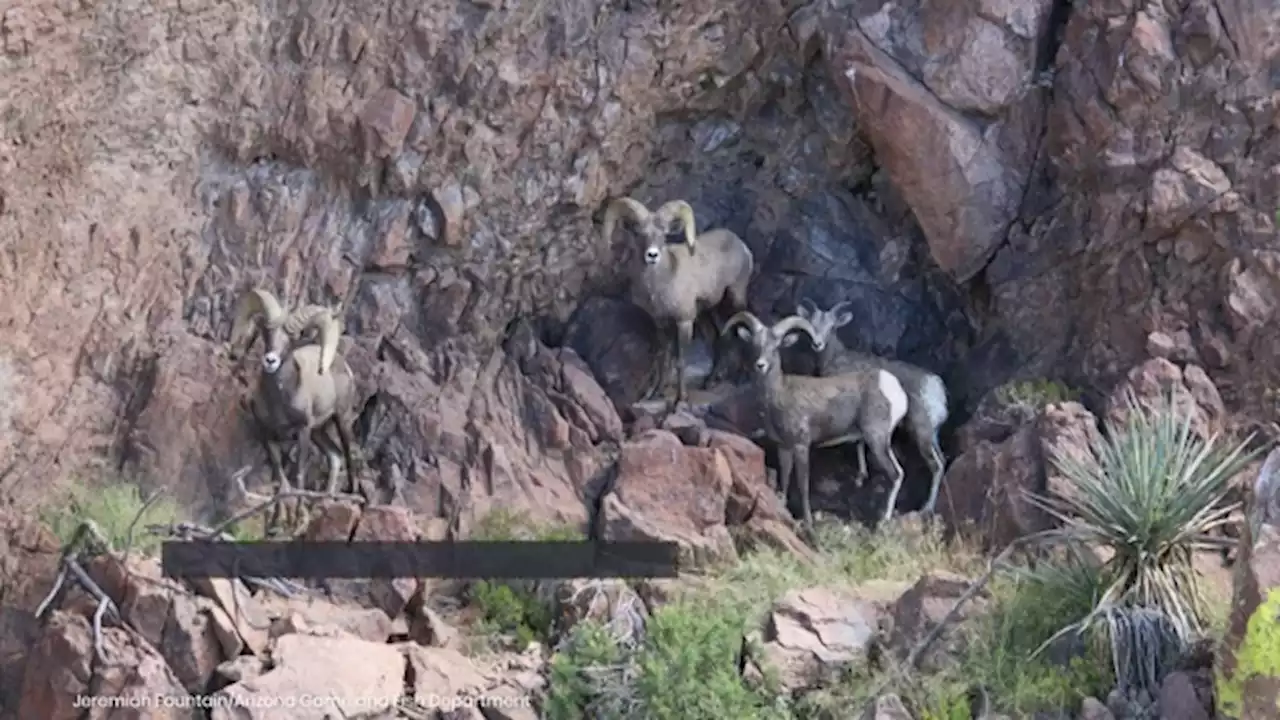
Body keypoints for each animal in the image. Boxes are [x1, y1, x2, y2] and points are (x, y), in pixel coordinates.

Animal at [227, 285, 360, 509]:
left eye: (292, 338)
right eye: (267, 332)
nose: (270, 360)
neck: (278, 402)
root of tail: (343, 365)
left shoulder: (303, 431)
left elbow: (299, 472)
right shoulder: (267, 432)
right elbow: (279, 469)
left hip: (341, 420)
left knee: (347, 456)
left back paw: (349, 495)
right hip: (319, 432)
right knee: (335, 456)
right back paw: (325, 498)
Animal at [727, 310, 916, 527]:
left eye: (775, 347)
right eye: (755, 345)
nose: (760, 365)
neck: (778, 395)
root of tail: (895, 390)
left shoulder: (801, 447)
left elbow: (803, 485)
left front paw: (808, 521)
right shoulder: (784, 447)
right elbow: (784, 479)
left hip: (877, 439)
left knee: (896, 474)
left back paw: (883, 520)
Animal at [798, 298, 952, 515]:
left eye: (832, 326)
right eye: (812, 324)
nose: (817, 343)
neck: (836, 358)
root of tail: (936, 387)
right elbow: (860, 442)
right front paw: (862, 476)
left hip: (922, 432)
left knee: (936, 465)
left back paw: (925, 508)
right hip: (932, 435)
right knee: (942, 460)